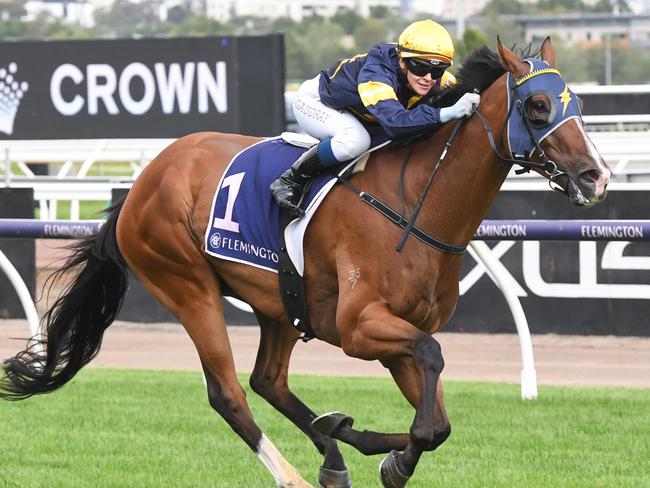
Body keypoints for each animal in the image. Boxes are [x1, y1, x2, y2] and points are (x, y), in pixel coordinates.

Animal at [0, 39, 608, 488]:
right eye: (537, 106)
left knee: (268, 380)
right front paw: (387, 455)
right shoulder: (360, 326)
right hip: (186, 284)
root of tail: (145, 179)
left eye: (578, 105)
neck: (416, 203)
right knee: (229, 394)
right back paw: (294, 470)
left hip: (278, 301)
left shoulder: (399, 333)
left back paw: (332, 450)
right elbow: (432, 384)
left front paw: (378, 450)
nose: (596, 176)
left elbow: (437, 420)